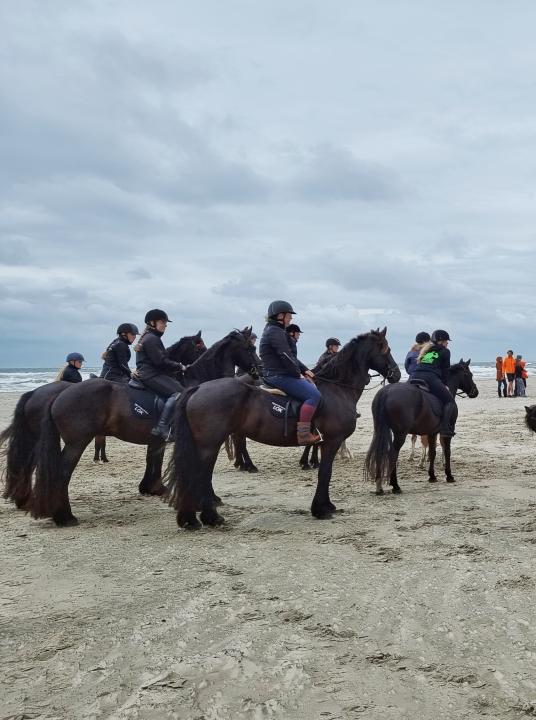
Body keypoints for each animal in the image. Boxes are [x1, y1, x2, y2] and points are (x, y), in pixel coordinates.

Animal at [0, 334, 203, 512]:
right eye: (199, 347)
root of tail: (37, 393)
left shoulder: (155, 439)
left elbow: (152, 460)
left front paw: (149, 487)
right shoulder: (159, 438)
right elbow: (155, 460)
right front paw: (156, 488)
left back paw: (25, 500)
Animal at [165, 330, 400, 532]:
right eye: (387, 349)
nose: (397, 374)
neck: (337, 389)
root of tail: (198, 388)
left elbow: (325, 472)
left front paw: (326, 505)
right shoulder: (331, 441)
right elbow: (325, 473)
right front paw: (320, 509)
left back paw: (191, 518)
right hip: (209, 446)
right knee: (201, 475)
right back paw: (210, 516)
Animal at [364, 360, 478, 496]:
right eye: (469, 374)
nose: (475, 391)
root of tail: (386, 392)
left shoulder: (432, 433)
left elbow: (432, 453)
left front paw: (432, 476)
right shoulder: (445, 434)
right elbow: (447, 452)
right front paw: (449, 475)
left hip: (380, 430)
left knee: (380, 452)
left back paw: (379, 486)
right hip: (400, 434)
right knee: (392, 454)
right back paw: (395, 485)